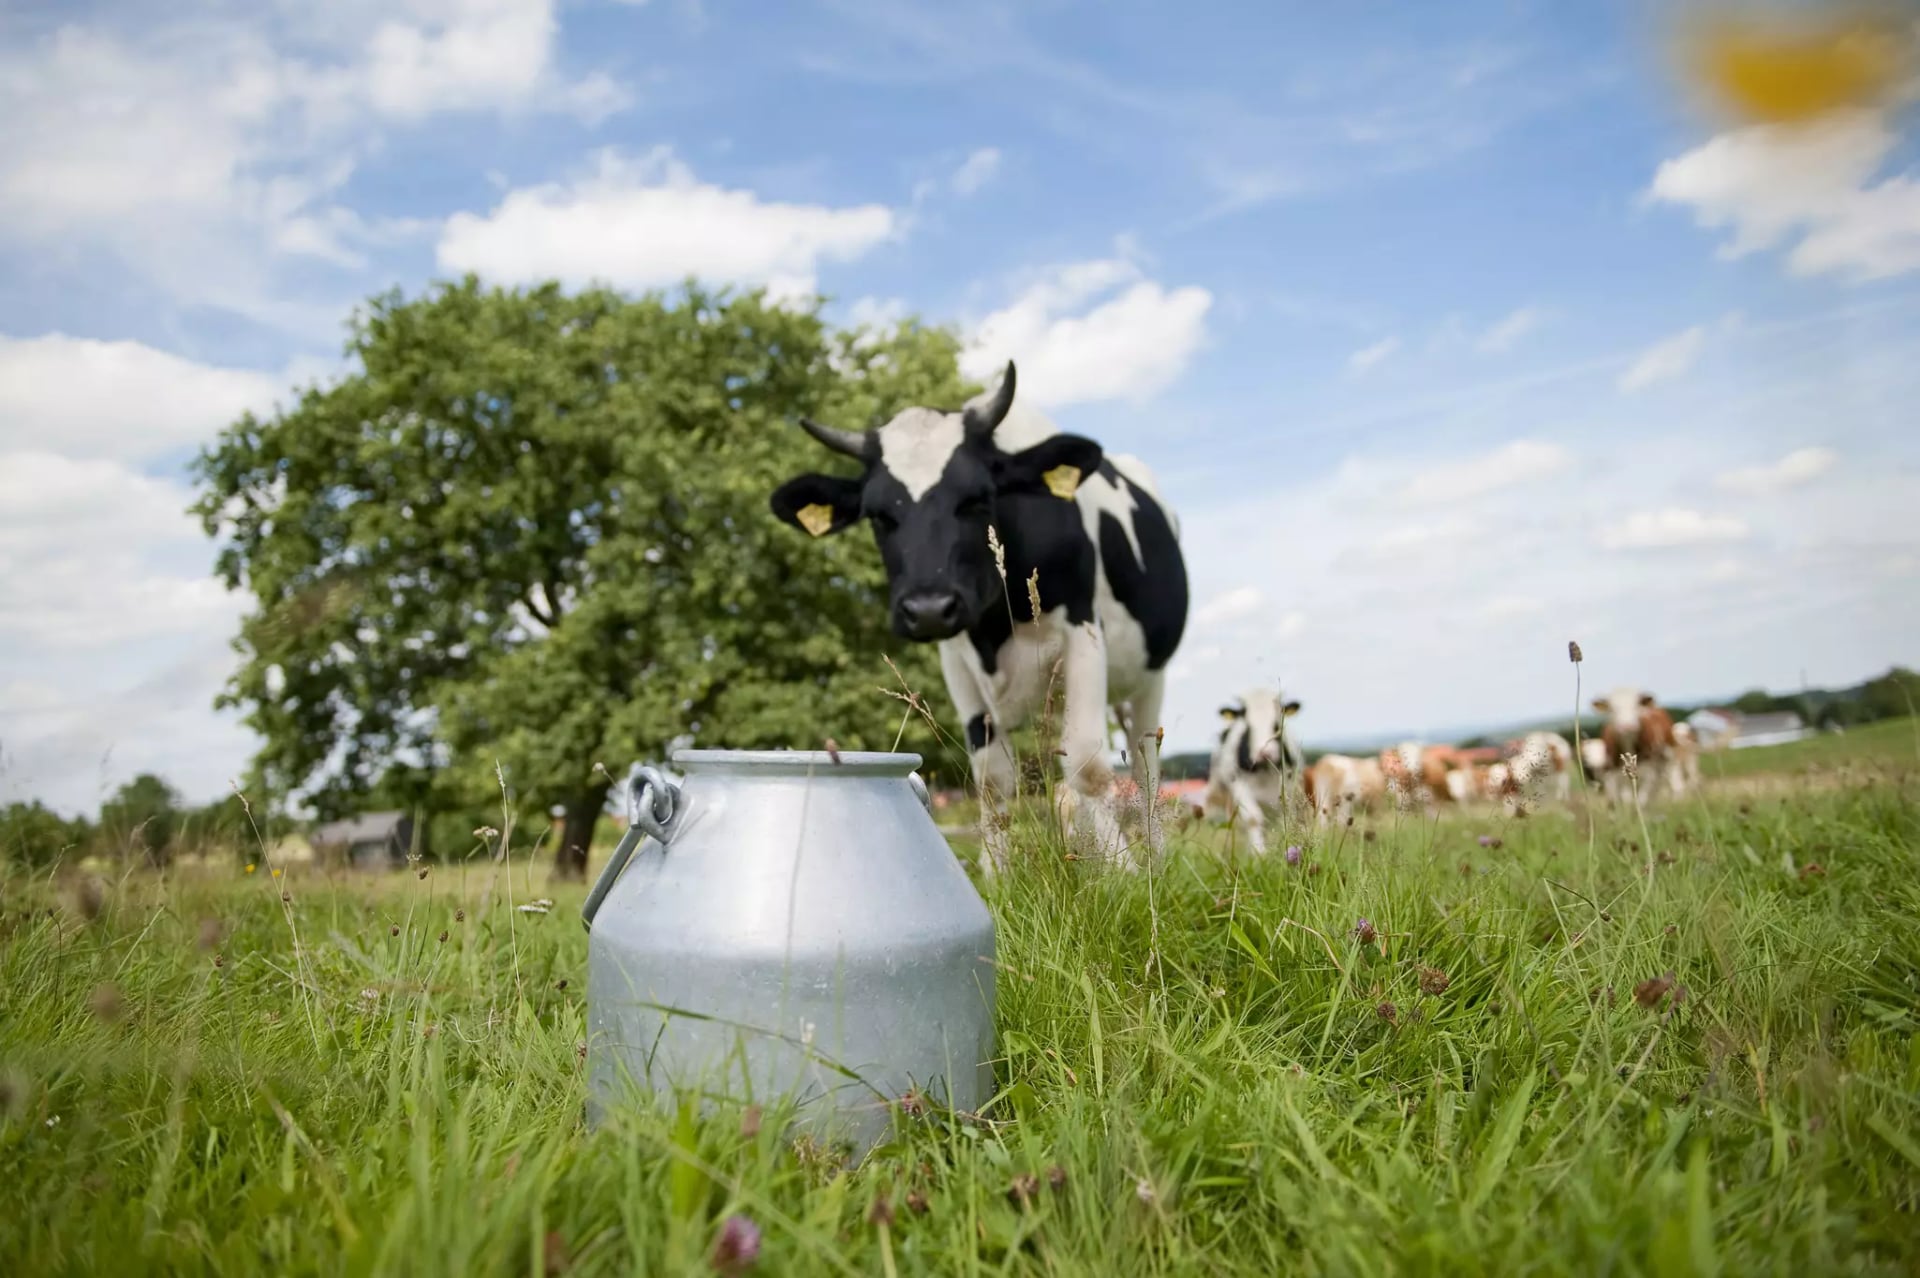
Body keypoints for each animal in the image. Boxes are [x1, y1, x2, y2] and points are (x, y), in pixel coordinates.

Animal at [770, 362, 1188, 874]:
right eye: (877, 515)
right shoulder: (958, 662)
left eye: (976, 498)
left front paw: (1122, 868)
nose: (928, 608)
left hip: (1149, 677)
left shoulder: (1083, 633)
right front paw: (997, 873)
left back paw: (1153, 858)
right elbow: (993, 778)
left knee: (1147, 763)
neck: (996, 625)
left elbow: (1088, 764)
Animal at [1200, 687, 1303, 854]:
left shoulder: (1287, 784)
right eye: (1248, 727)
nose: (1265, 752)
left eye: (1276, 724)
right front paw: (1258, 853)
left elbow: (1285, 818)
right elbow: (1253, 819)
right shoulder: (1238, 783)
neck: (1264, 770)